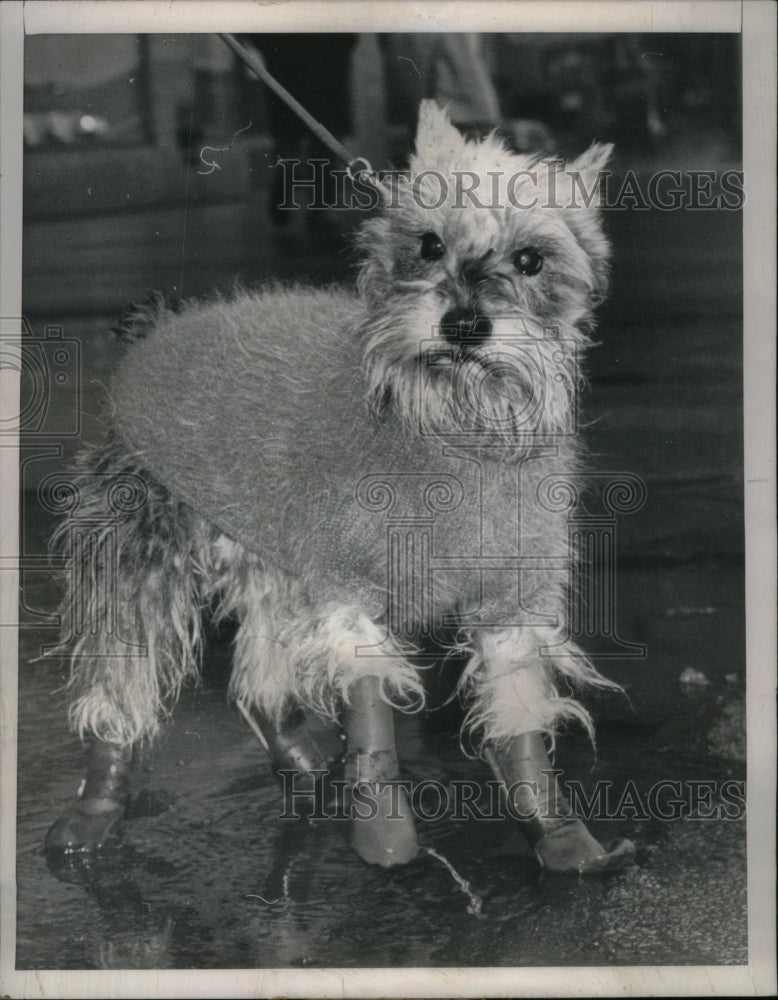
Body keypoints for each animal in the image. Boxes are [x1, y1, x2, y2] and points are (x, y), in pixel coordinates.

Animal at [45, 97, 632, 872]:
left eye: (531, 259)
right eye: (429, 244)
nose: (464, 324)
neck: (455, 425)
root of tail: (157, 327)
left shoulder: (512, 600)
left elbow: (519, 722)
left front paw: (555, 829)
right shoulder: (350, 591)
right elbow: (370, 706)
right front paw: (383, 828)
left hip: (270, 561)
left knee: (263, 680)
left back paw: (294, 751)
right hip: (138, 557)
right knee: (122, 676)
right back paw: (96, 803)